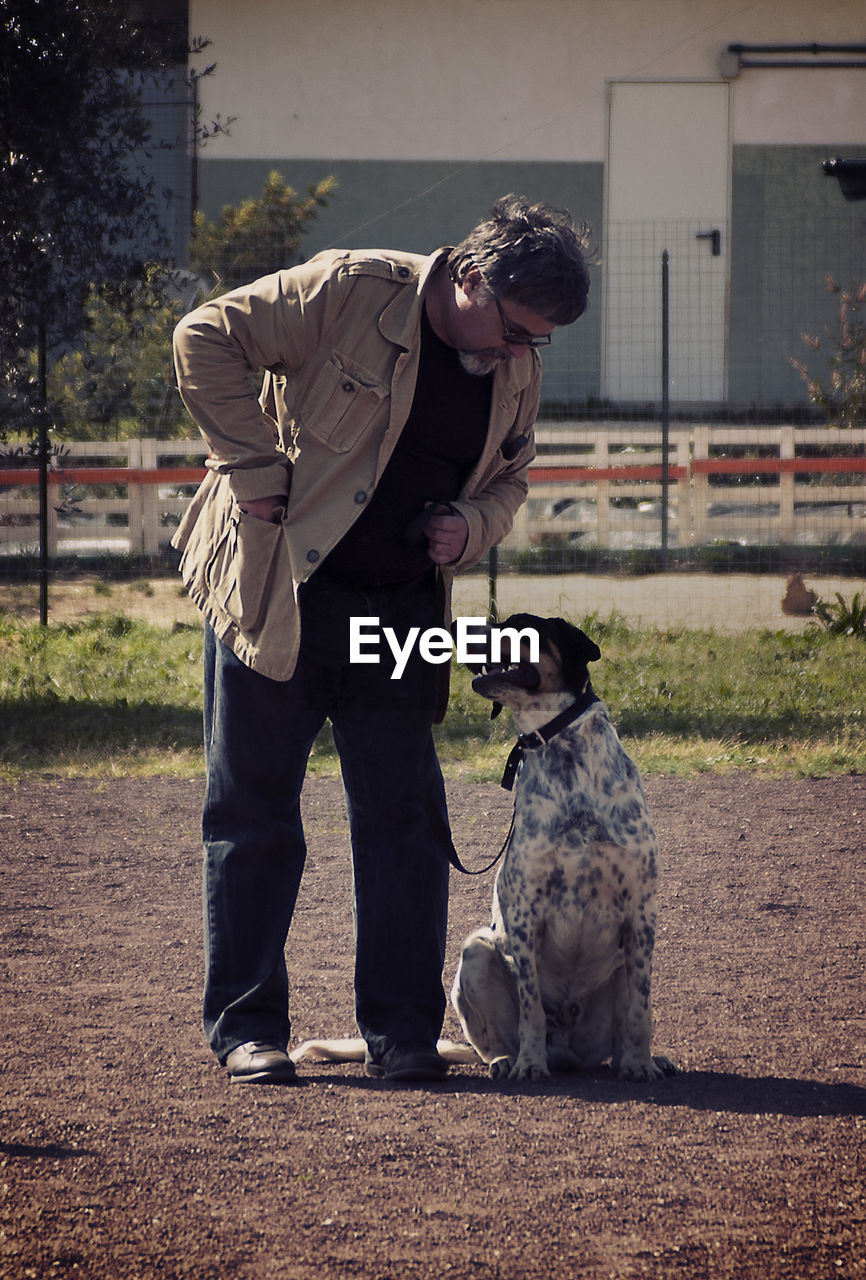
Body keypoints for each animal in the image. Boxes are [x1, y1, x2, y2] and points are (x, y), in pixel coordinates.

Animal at [452, 614, 675, 1085]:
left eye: (519, 625)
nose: (458, 624)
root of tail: (571, 1053)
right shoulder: (524, 914)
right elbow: (532, 1010)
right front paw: (530, 1065)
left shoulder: (642, 911)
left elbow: (640, 1011)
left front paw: (641, 1064)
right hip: (476, 950)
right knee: (493, 1041)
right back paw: (507, 1061)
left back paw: (640, 1060)